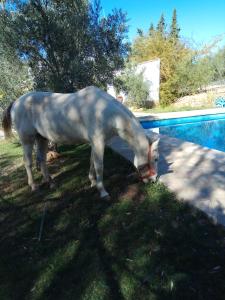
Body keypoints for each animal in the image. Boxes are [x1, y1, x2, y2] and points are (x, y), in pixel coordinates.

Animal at [2, 85, 159, 198]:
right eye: (156, 159)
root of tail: (16, 102)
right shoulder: (98, 143)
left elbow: (92, 162)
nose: (154, 180)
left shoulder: (95, 143)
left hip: (42, 139)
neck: (105, 112)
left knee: (41, 160)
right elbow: (99, 166)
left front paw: (92, 182)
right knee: (28, 162)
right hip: (27, 140)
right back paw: (34, 186)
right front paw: (103, 192)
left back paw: (50, 183)